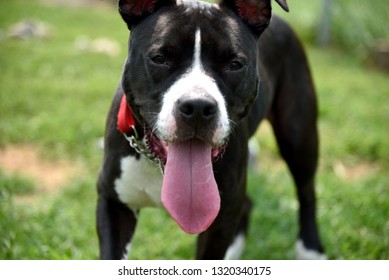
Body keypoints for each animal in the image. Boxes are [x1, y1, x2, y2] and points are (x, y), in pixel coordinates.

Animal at [96, 0, 324, 260]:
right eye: (159, 58)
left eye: (234, 64)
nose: (197, 106)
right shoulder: (113, 202)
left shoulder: (220, 219)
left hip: (299, 139)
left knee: (306, 191)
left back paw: (311, 250)